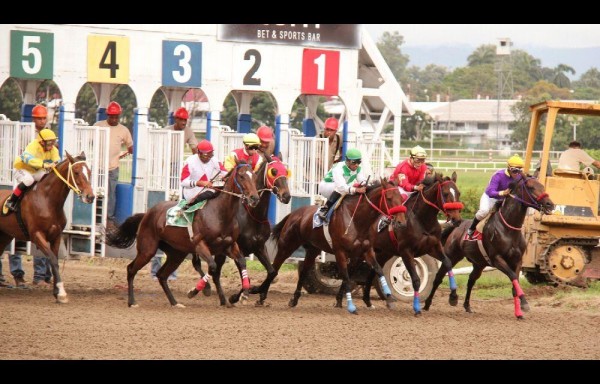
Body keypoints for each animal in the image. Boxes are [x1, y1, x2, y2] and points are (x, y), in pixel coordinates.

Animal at [0, 152, 94, 304]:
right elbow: (53, 260)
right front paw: (61, 292)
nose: (90, 196)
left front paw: (57, 292)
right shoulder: (37, 235)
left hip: (5, 236)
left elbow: (54, 260)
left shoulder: (56, 236)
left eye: (89, 172)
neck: (48, 201)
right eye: (76, 172)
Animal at [104, 164, 258, 308]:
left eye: (254, 176)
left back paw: (174, 302)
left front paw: (244, 293)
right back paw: (132, 302)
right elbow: (213, 267)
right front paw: (194, 291)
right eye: (242, 176)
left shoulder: (229, 245)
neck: (220, 214)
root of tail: (147, 214)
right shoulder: (200, 244)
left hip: (176, 253)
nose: (254, 198)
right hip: (147, 249)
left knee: (161, 275)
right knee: (131, 269)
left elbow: (241, 262)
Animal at [255, 178, 406, 314]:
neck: (357, 220)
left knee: (303, 272)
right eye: (389, 198)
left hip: (313, 249)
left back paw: (294, 299)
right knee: (274, 268)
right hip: (286, 246)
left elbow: (378, 270)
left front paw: (389, 296)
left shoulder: (366, 251)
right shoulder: (340, 252)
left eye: (401, 197)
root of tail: (294, 213)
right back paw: (261, 296)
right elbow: (346, 277)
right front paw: (350, 306)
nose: (401, 222)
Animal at [358, 173, 466, 316]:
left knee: (373, 271)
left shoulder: (433, 247)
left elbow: (447, 263)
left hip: (383, 252)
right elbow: (415, 279)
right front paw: (416, 307)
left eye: (458, 193)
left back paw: (369, 300)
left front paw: (453, 297)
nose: (457, 219)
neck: (422, 220)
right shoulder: (406, 252)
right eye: (445, 193)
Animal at [424, 173, 556, 318]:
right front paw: (525, 303)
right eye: (531, 187)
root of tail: (456, 225)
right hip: (452, 256)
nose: (550, 204)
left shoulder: (517, 260)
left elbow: (514, 283)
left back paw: (467, 306)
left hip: (479, 263)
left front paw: (519, 311)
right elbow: (512, 276)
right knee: (439, 277)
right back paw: (428, 304)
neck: (509, 229)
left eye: (542, 186)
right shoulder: (497, 259)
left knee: (471, 280)